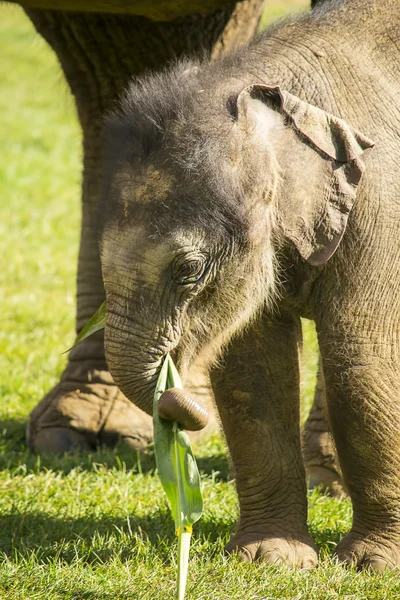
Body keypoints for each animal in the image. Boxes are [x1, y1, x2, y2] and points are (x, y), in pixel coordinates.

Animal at [99, 0, 400, 572]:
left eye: (189, 270)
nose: (180, 407)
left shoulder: (382, 207)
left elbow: (361, 359)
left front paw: (371, 564)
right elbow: (250, 367)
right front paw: (269, 558)